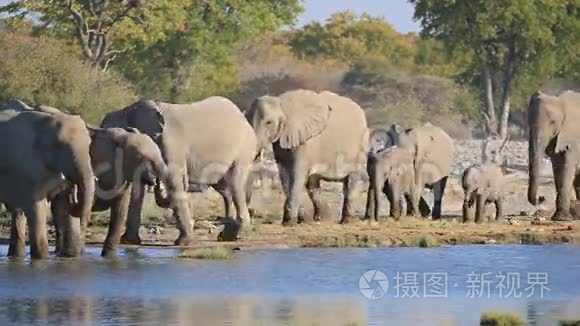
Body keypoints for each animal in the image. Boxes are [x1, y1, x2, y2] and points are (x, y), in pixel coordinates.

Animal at [0, 99, 94, 258]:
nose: (74, 197)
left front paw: (70, 257)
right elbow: (37, 206)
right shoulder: (29, 166)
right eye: (59, 145)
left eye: (89, 145)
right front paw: (42, 259)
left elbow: (62, 204)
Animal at [101, 95, 258, 243]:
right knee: (225, 189)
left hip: (244, 149)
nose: (156, 183)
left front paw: (183, 242)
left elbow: (173, 180)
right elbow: (138, 185)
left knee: (235, 183)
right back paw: (226, 235)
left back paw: (236, 234)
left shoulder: (171, 144)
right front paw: (129, 241)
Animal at [247, 90, 370, 225]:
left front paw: (289, 222)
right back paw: (321, 218)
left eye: (268, 123)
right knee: (313, 185)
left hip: (359, 147)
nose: (251, 211)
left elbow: (297, 175)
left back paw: (346, 221)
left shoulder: (304, 141)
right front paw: (297, 220)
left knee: (351, 181)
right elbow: (285, 175)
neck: (280, 103)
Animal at [528, 90, 580, 220]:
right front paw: (561, 217)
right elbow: (557, 167)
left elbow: (567, 166)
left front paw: (562, 219)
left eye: (552, 122)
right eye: (528, 123)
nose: (541, 198)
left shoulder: (574, 137)